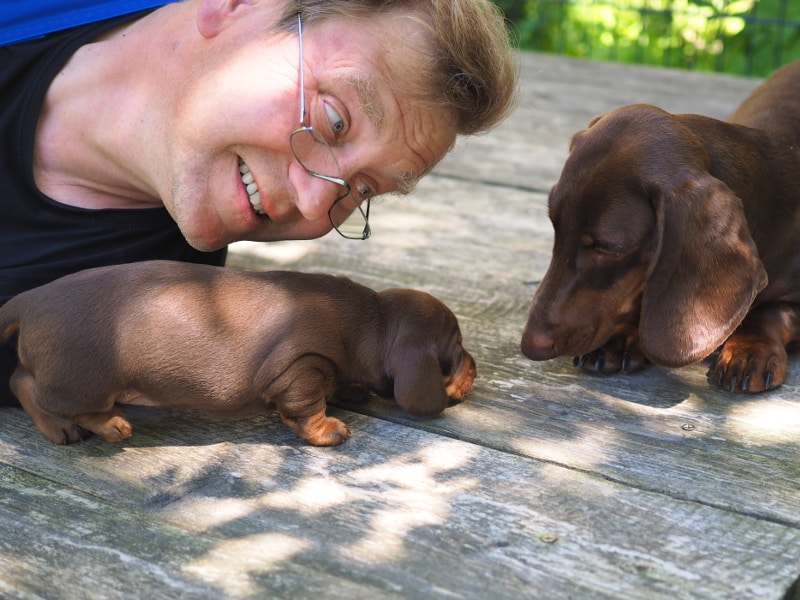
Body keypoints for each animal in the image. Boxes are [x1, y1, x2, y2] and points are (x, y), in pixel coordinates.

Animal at [0, 262, 476, 446]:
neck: (372, 321)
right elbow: (308, 407)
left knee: (20, 378)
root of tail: (28, 299)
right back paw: (98, 426)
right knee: (32, 389)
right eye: (455, 348)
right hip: (86, 383)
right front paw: (329, 430)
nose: (475, 367)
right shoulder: (299, 368)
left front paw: (351, 392)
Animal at [520, 61, 800, 394]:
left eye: (607, 248)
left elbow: (771, 312)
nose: (530, 346)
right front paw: (623, 334)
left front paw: (750, 350)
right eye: (555, 225)